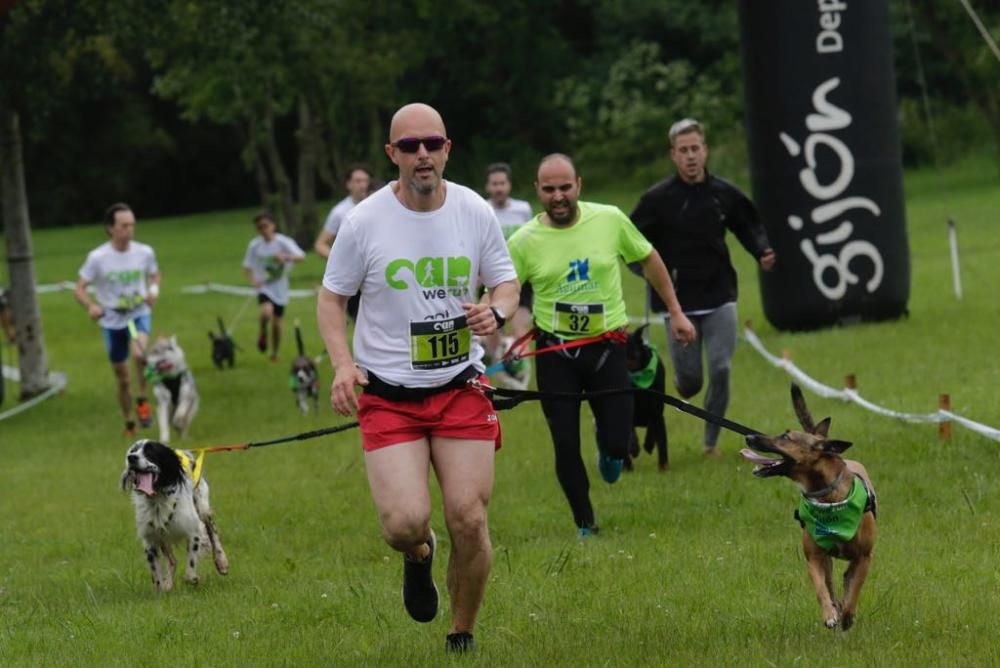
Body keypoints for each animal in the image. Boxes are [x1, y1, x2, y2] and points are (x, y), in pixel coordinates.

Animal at [120, 440, 229, 592]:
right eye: (133, 450)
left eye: (150, 451)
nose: (131, 457)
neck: (157, 500)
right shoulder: (150, 540)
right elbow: (157, 577)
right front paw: (163, 587)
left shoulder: (193, 532)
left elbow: (190, 571)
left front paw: (194, 578)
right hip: (163, 537)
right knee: (172, 560)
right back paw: (168, 583)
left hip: (202, 508)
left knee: (212, 529)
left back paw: (221, 561)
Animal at [624, 324, 664, 470]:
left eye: (631, 357)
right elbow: (630, 430)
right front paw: (634, 447)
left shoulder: (656, 407)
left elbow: (654, 424)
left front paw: (649, 443)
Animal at [744, 384, 876, 628]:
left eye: (785, 436)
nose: (749, 436)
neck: (828, 496)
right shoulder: (814, 557)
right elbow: (820, 589)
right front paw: (830, 614)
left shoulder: (865, 557)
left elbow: (856, 589)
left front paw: (848, 616)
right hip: (828, 561)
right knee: (833, 584)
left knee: (848, 580)